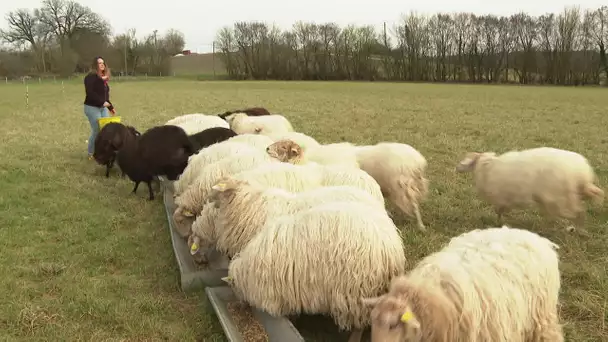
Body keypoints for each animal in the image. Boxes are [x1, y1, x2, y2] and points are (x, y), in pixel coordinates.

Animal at [221, 200, 406, 342]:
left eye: (234, 288)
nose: (239, 306)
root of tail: (392, 248)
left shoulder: (282, 293)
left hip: (358, 292)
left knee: (359, 325)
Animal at [268, 140, 430, 231]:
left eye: (283, 146)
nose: (267, 149)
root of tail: (418, 162)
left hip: (404, 186)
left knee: (414, 206)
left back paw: (420, 226)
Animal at [456, 146, 604, 231]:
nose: (457, 168)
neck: (486, 167)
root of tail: (581, 171)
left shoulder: (502, 198)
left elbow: (499, 211)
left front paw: (499, 224)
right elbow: (500, 211)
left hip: (560, 199)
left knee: (577, 211)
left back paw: (575, 228)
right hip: (576, 192)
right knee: (595, 195)